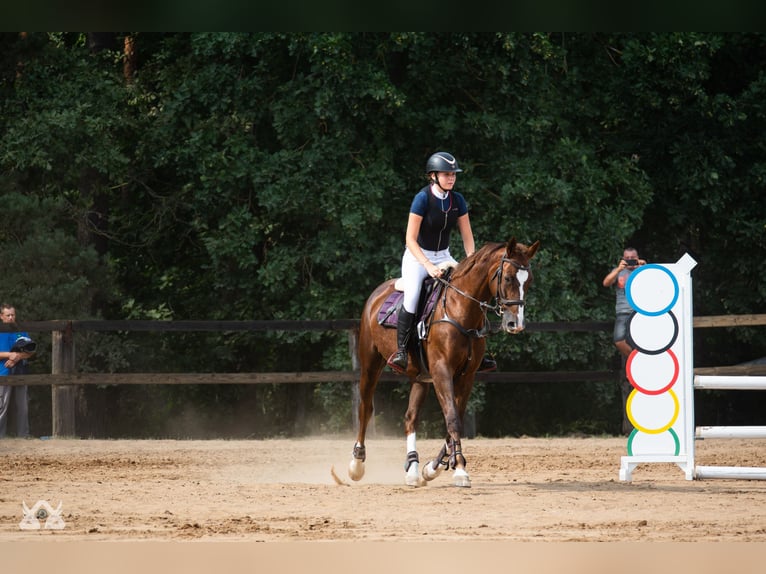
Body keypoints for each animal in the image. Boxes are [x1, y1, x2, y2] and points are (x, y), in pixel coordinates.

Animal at [352, 240, 544, 490]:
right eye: (509, 277)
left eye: (529, 280)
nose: (516, 324)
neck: (461, 310)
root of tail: (377, 293)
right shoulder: (442, 371)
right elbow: (452, 418)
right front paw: (460, 469)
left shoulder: (466, 376)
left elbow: (456, 418)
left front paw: (432, 468)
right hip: (370, 364)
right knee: (365, 408)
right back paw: (356, 465)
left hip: (420, 377)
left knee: (410, 417)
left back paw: (413, 469)